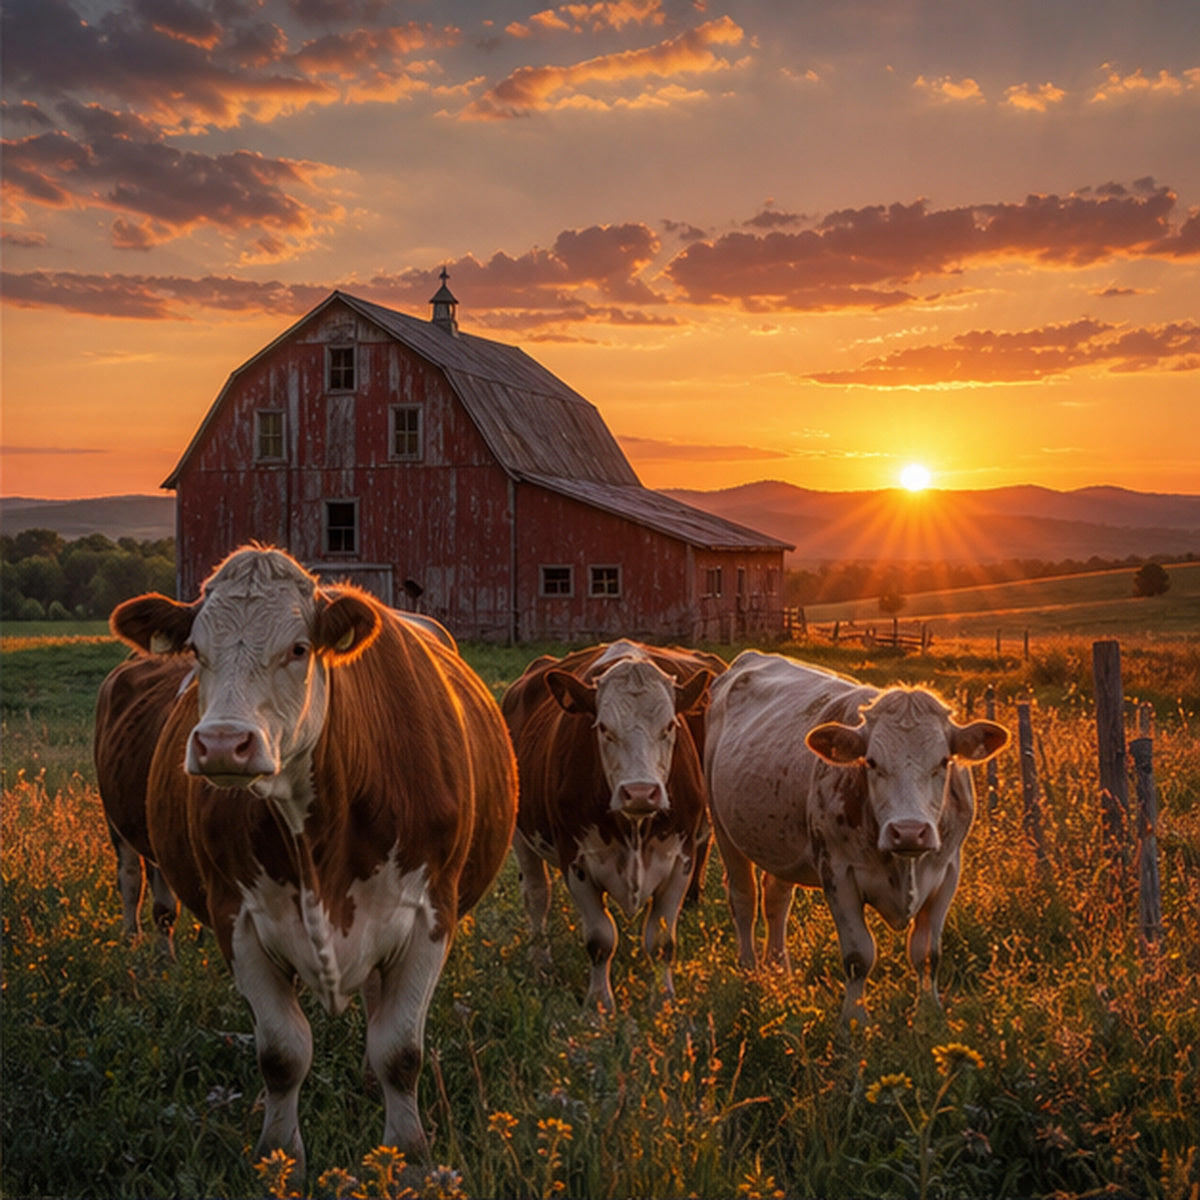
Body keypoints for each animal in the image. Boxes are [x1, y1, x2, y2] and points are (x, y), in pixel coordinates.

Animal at [106, 546, 517, 1176]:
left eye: (298, 648)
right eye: (196, 651)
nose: (222, 744)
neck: (314, 832)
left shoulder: (430, 914)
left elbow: (400, 1050)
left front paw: (409, 1157)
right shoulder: (237, 918)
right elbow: (281, 1052)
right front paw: (279, 1160)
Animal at [501, 641, 719, 1014]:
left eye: (670, 726)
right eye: (603, 728)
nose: (641, 791)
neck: (634, 826)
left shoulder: (681, 858)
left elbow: (662, 941)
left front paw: (663, 1002)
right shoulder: (576, 861)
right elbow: (601, 939)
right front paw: (599, 1006)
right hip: (521, 836)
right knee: (536, 894)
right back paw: (539, 959)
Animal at [705, 651, 1008, 1025]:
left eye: (943, 761)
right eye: (872, 762)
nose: (909, 831)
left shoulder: (947, 872)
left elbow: (926, 953)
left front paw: (928, 1012)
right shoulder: (839, 874)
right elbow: (858, 956)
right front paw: (854, 1020)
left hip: (780, 844)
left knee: (776, 900)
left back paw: (779, 971)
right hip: (723, 829)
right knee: (743, 899)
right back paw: (749, 971)